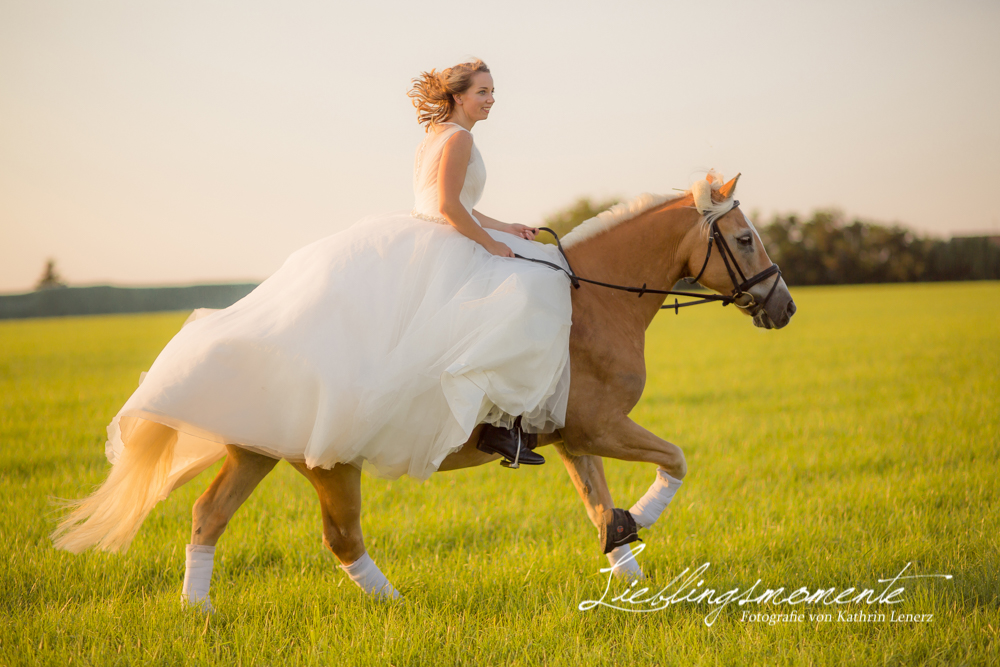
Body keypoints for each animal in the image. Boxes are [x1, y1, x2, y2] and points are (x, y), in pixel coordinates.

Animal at [52, 171, 796, 604]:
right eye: (745, 238)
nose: (785, 308)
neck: (596, 301)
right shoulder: (601, 426)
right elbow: (676, 460)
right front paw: (639, 521)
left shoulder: (570, 435)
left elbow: (597, 506)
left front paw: (631, 573)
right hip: (330, 462)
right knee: (341, 538)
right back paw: (394, 606)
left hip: (257, 450)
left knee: (209, 516)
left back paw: (198, 611)